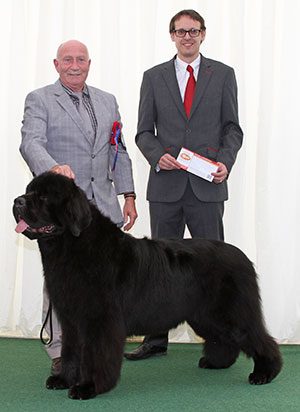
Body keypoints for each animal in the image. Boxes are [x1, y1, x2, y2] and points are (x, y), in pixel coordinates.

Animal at [12, 172, 282, 400]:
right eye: (29, 190)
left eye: (44, 196)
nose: (17, 201)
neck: (71, 247)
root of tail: (244, 257)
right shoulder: (71, 319)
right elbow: (71, 351)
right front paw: (63, 379)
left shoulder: (98, 320)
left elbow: (94, 354)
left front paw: (87, 387)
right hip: (205, 316)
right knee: (223, 338)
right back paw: (217, 362)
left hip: (230, 312)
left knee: (256, 336)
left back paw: (265, 373)